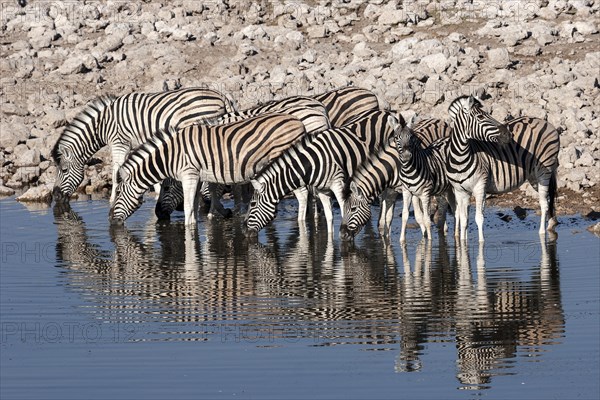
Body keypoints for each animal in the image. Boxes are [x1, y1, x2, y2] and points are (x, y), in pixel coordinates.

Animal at [51, 86, 234, 203]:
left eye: (64, 170)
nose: (56, 197)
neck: (102, 125)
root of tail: (221, 96)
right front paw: (157, 192)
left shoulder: (119, 142)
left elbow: (116, 169)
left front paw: (112, 198)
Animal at [108, 113, 308, 225]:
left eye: (118, 193)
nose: (110, 219)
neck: (171, 155)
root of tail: (298, 122)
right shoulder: (197, 176)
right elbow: (195, 207)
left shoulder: (189, 174)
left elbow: (189, 208)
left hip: (286, 164)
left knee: (303, 194)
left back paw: (302, 224)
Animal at [244, 109, 404, 238]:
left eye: (252, 204)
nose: (245, 232)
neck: (313, 163)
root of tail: (386, 112)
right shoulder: (322, 191)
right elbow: (329, 217)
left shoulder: (338, 185)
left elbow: (343, 210)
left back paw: (382, 224)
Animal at [442, 95, 560, 242]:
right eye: (480, 116)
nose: (508, 135)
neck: (460, 158)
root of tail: (546, 122)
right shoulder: (460, 192)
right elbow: (464, 220)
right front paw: (462, 243)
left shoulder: (480, 187)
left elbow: (479, 218)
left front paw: (481, 243)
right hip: (534, 176)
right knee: (548, 200)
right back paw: (551, 224)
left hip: (545, 170)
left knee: (544, 204)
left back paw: (542, 233)